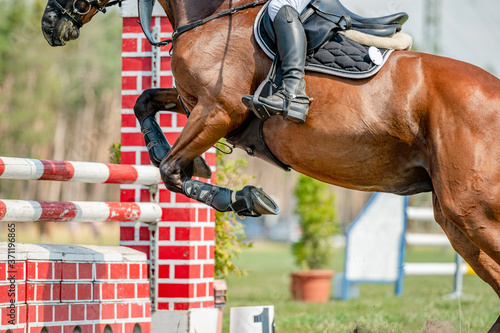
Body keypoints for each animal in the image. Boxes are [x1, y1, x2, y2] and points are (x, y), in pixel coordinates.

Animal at [42, 0, 500, 326]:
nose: (49, 24)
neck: (210, 16)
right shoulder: (197, 104)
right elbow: (145, 103)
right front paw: (192, 164)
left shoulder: (217, 110)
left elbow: (171, 171)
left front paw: (244, 198)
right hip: (455, 223)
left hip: (470, 210)